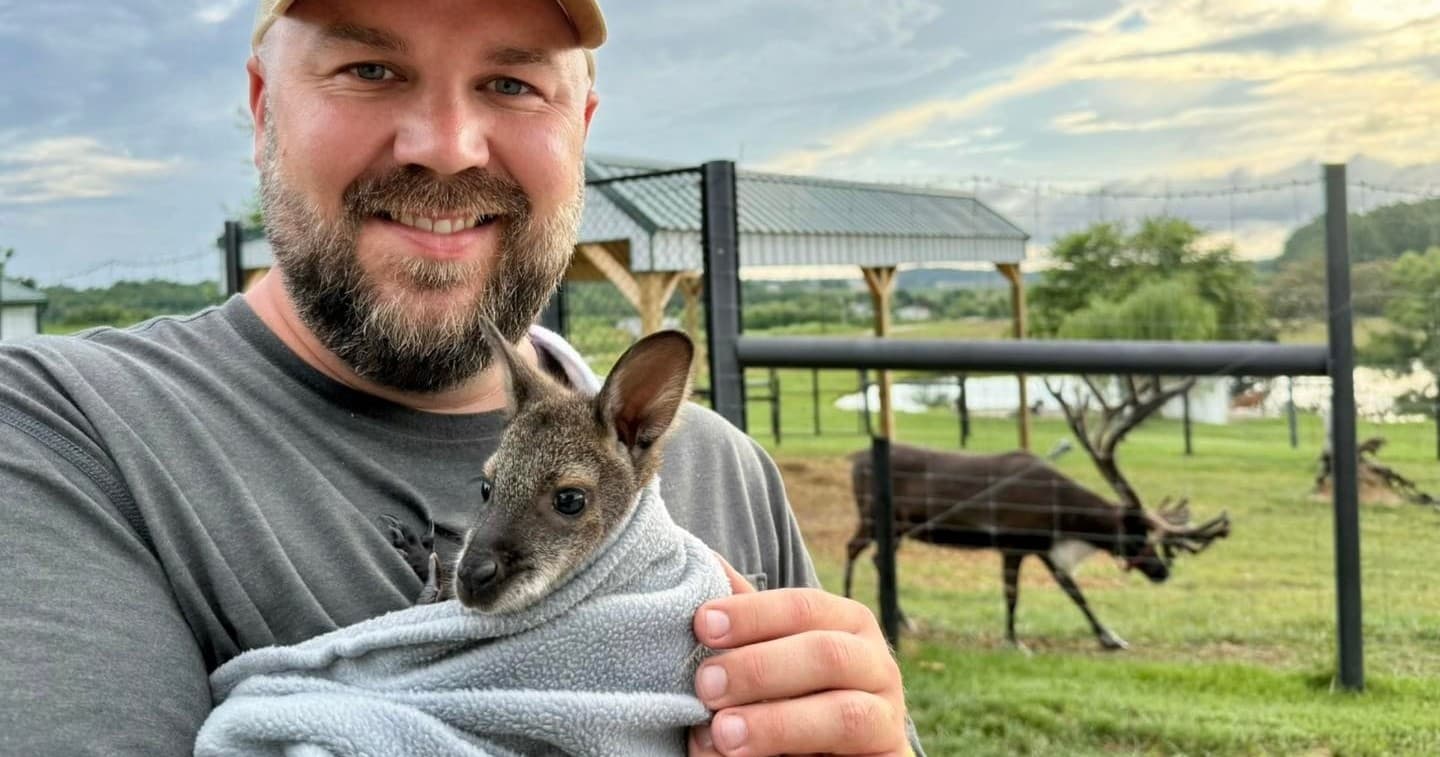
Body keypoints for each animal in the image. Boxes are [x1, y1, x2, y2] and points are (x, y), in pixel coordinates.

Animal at [844, 374, 1230, 650]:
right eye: (1137, 535)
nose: (1161, 571)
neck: (1063, 516)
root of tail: (855, 457)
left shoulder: (1043, 546)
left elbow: (1074, 591)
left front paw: (1109, 637)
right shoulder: (1013, 543)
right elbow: (1012, 594)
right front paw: (1014, 640)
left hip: (896, 527)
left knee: (878, 558)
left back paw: (902, 619)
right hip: (875, 517)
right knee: (854, 548)